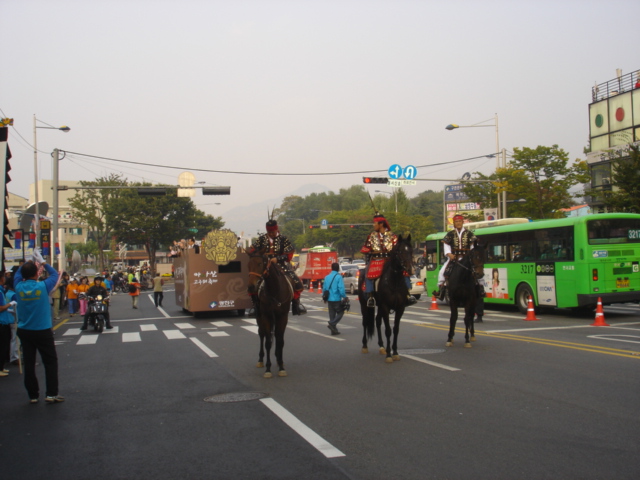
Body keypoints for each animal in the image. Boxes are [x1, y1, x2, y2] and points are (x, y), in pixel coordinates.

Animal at [358, 234, 412, 362]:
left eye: (411, 250)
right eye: (400, 251)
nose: (409, 269)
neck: (395, 281)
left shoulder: (400, 308)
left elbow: (396, 329)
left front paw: (395, 352)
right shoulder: (385, 306)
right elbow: (388, 330)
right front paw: (389, 355)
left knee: (377, 321)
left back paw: (381, 346)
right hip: (364, 304)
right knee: (365, 322)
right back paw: (365, 346)